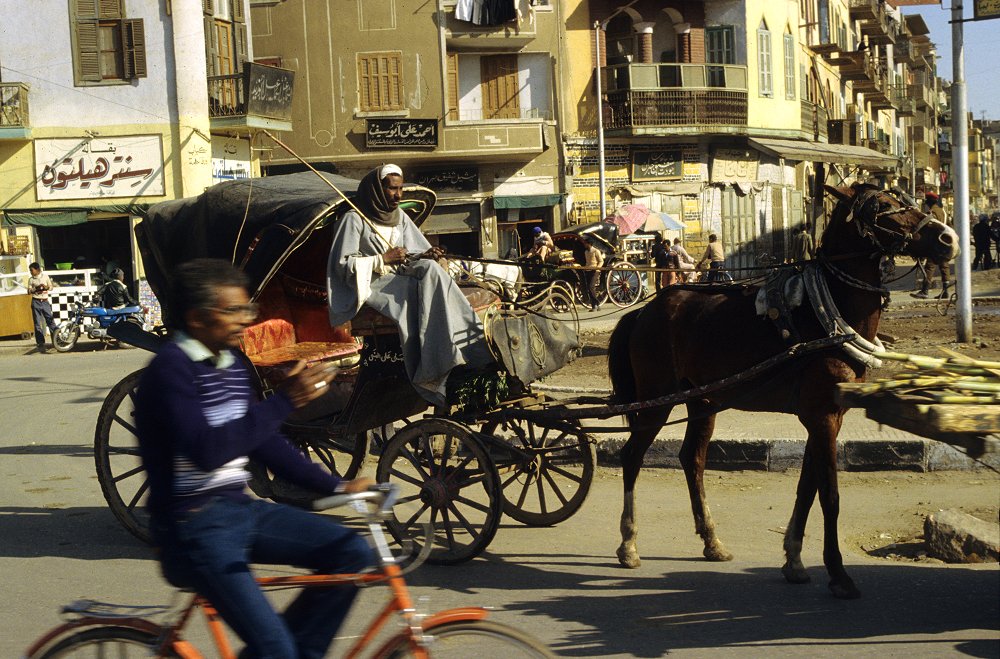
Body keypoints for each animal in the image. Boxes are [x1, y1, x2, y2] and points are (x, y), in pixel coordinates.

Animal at [608, 183, 960, 600]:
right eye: (884, 207)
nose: (949, 238)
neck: (828, 311)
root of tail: (644, 311)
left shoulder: (828, 418)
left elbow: (807, 487)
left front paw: (794, 560)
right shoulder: (821, 416)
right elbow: (830, 495)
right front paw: (838, 574)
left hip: (701, 400)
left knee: (691, 459)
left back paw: (712, 542)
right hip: (656, 400)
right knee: (632, 456)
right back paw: (628, 545)